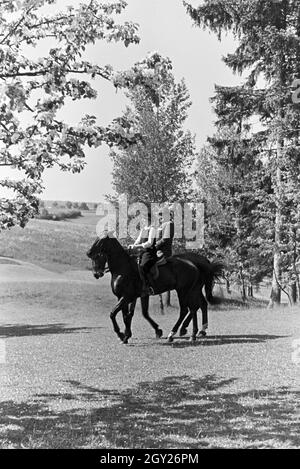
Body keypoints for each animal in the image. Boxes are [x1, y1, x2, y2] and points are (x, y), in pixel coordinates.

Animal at [86, 232, 223, 342]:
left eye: (101, 240)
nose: (89, 253)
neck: (123, 269)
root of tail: (193, 264)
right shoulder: (128, 297)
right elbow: (131, 315)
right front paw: (127, 335)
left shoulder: (127, 297)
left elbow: (113, 314)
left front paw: (121, 334)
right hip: (191, 290)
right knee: (196, 307)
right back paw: (194, 332)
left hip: (184, 291)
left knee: (187, 309)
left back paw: (178, 333)